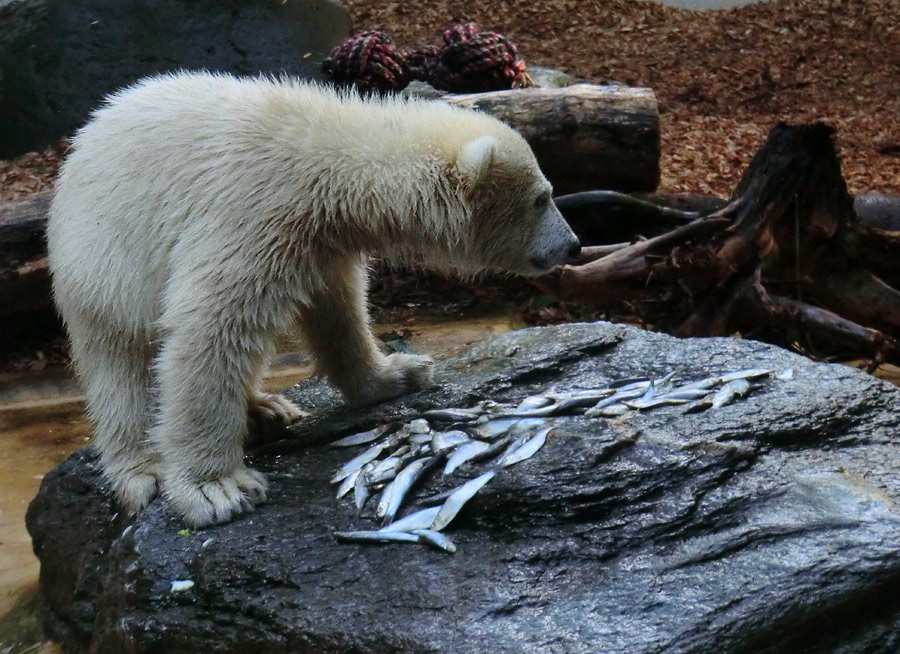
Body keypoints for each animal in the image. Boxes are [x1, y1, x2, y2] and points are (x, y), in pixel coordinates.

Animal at [47, 72, 584, 532]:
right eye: (542, 197)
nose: (574, 245)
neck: (334, 159)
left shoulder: (321, 239)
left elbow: (338, 310)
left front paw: (398, 374)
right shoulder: (253, 214)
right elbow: (212, 326)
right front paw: (217, 491)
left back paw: (267, 408)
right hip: (104, 263)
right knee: (121, 365)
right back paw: (144, 467)